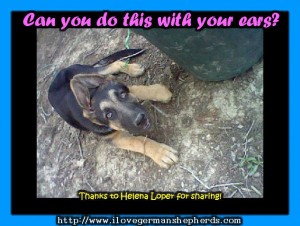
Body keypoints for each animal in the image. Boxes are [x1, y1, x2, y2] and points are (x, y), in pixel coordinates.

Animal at [47, 48, 177, 168]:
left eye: (123, 95)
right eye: (109, 115)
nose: (141, 119)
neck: (91, 93)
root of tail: (54, 81)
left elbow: (136, 88)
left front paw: (158, 91)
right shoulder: (114, 138)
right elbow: (138, 141)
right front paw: (161, 153)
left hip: (85, 72)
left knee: (112, 66)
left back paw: (132, 69)